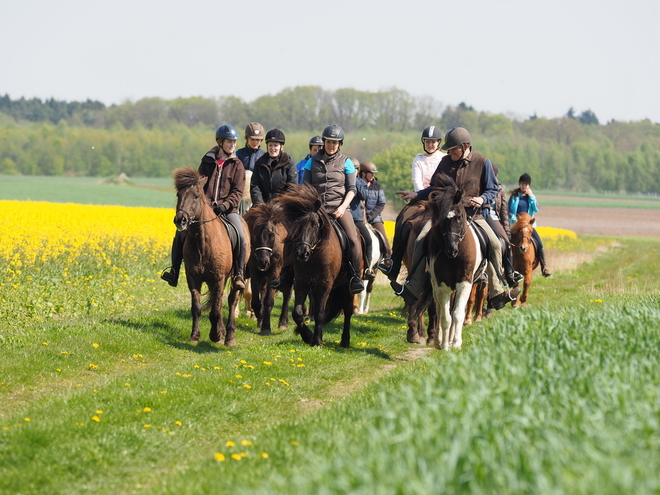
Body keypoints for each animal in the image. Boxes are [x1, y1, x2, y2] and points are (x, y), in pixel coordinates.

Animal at [173, 169, 250, 346]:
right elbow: (197, 307)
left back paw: (229, 336)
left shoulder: (218, 278)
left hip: (235, 277)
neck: (202, 241)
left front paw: (215, 335)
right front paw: (195, 336)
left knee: (231, 300)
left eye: (196, 196)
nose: (180, 220)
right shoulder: (193, 277)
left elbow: (215, 309)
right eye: (178, 195)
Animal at [242, 202, 292, 338]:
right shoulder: (255, 271)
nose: (263, 262)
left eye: (272, 235)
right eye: (255, 235)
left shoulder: (275, 272)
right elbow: (256, 300)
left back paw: (283, 322)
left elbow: (269, 300)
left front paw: (266, 327)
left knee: (287, 294)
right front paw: (259, 315)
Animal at [276, 185, 358, 348]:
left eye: (314, 224)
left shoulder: (324, 284)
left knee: (347, 310)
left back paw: (345, 341)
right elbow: (297, 313)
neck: (314, 255)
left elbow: (320, 313)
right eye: (297, 225)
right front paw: (307, 336)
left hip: (347, 285)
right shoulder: (302, 282)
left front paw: (317, 340)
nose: (302, 253)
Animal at [418, 176, 484, 350]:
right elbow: (445, 316)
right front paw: (444, 345)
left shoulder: (465, 284)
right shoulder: (442, 285)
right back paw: (438, 340)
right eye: (441, 220)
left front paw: (456, 343)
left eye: (459, 216)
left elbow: (457, 314)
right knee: (440, 309)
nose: (451, 250)